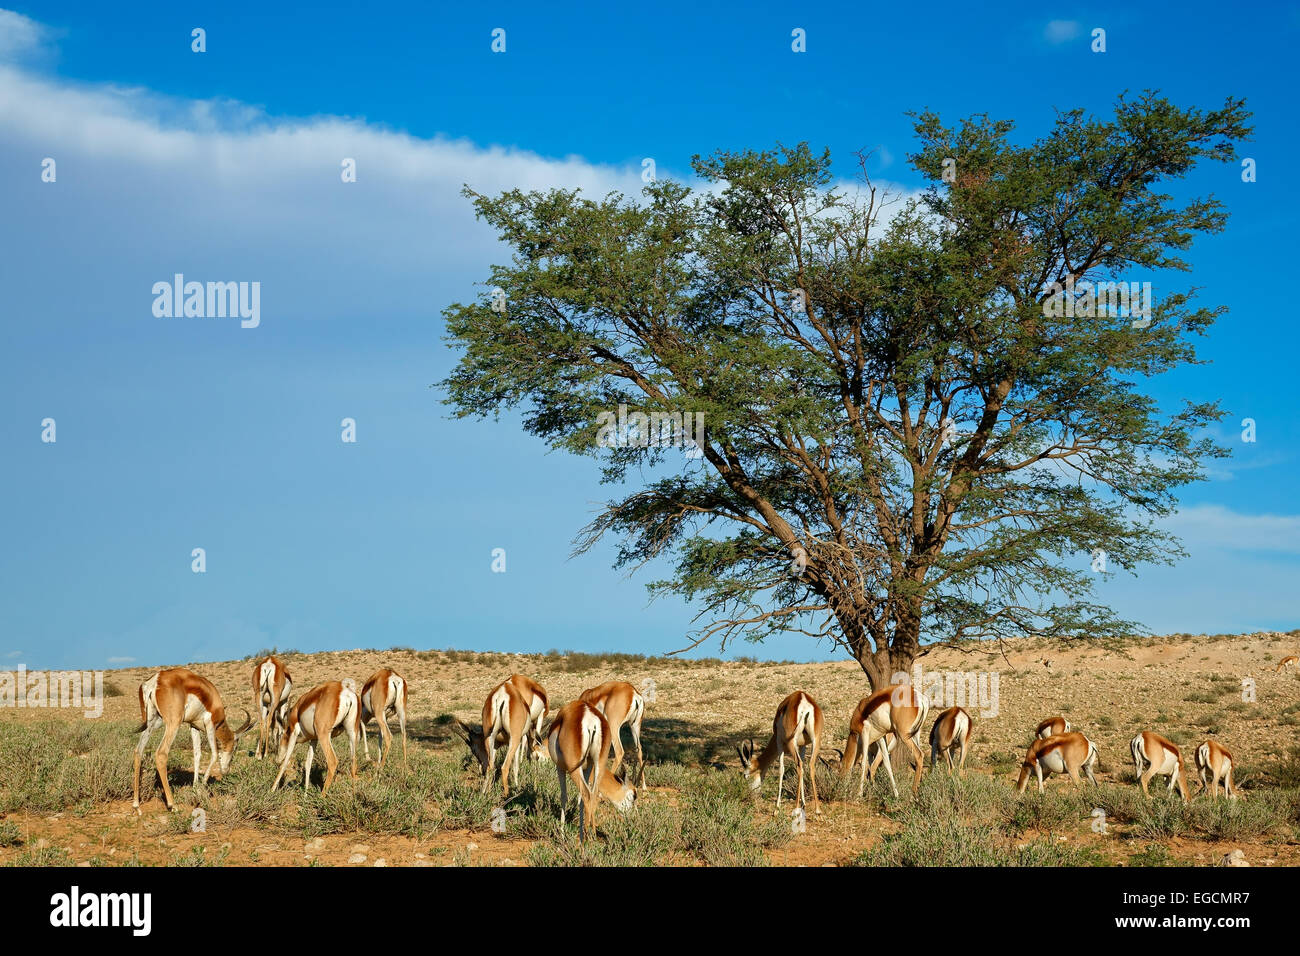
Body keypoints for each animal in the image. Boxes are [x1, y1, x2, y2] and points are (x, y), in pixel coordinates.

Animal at [133, 671, 253, 811]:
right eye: (235, 749)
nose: (226, 770)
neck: (212, 698)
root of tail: (155, 680)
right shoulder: (210, 725)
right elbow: (214, 754)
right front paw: (201, 788)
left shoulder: (193, 726)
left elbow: (197, 755)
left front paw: (195, 787)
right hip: (173, 723)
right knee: (161, 753)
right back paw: (172, 805)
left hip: (153, 722)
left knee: (138, 751)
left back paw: (136, 804)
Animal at [543, 697, 634, 842]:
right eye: (633, 796)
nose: (630, 818)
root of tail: (590, 719)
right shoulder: (587, 768)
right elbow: (580, 799)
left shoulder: (560, 767)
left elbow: (564, 796)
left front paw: (562, 834)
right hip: (599, 763)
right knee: (593, 794)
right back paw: (592, 835)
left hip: (574, 770)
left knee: (586, 794)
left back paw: (583, 839)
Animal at [743, 686, 821, 816]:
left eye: (745, 776)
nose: (750, 796)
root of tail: (803, 701)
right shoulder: (803, 745)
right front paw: (804, 804)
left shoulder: (779, 742)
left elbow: (781, 770)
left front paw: (776, 809)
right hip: (816, 741)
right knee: (809, 765)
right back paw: (818, 810)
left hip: (791, 742)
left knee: (798, 765)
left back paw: (795, 809)